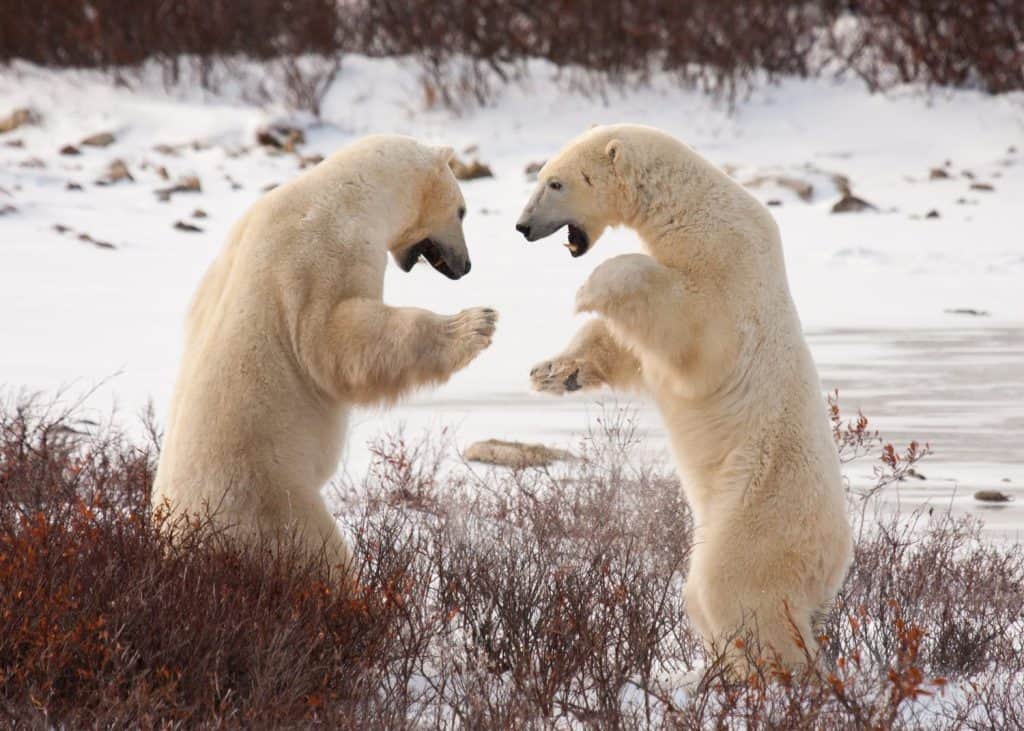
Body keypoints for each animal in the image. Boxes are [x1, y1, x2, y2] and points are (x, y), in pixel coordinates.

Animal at [152, 134, 498, 577]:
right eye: (462, 210)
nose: (465, 266)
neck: (350, 190)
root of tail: (181, 535)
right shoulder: (324, 251)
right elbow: (338, 337)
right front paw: (475, 323)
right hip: (271, 501)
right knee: (321, 555)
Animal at [515, 124, 852, 673]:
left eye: (555, 183)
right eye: (543, 176)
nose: (522, 226)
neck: (696, 213)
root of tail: (834, 566)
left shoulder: (728, 276)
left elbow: (687, 327)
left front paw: (587, 290)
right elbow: (632, 350)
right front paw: (554, 371)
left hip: (760, 506)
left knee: (735, 590)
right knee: (698, 599)